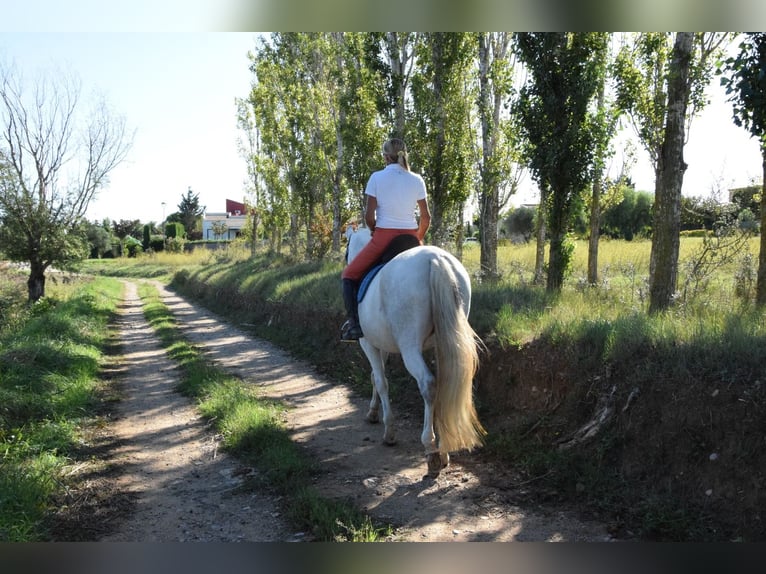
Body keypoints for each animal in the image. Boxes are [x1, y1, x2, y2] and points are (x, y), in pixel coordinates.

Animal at [348, 227, 486, 480]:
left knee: (428, 384)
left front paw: (389, 431)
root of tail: (436, 259)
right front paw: (373, 412)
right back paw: (444, 446)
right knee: (444, 382)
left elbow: (380, 381)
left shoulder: (368, 343)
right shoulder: (381, 344)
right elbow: (375, 377)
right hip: (446, 342)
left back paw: (431, 450)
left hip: (409, 347)